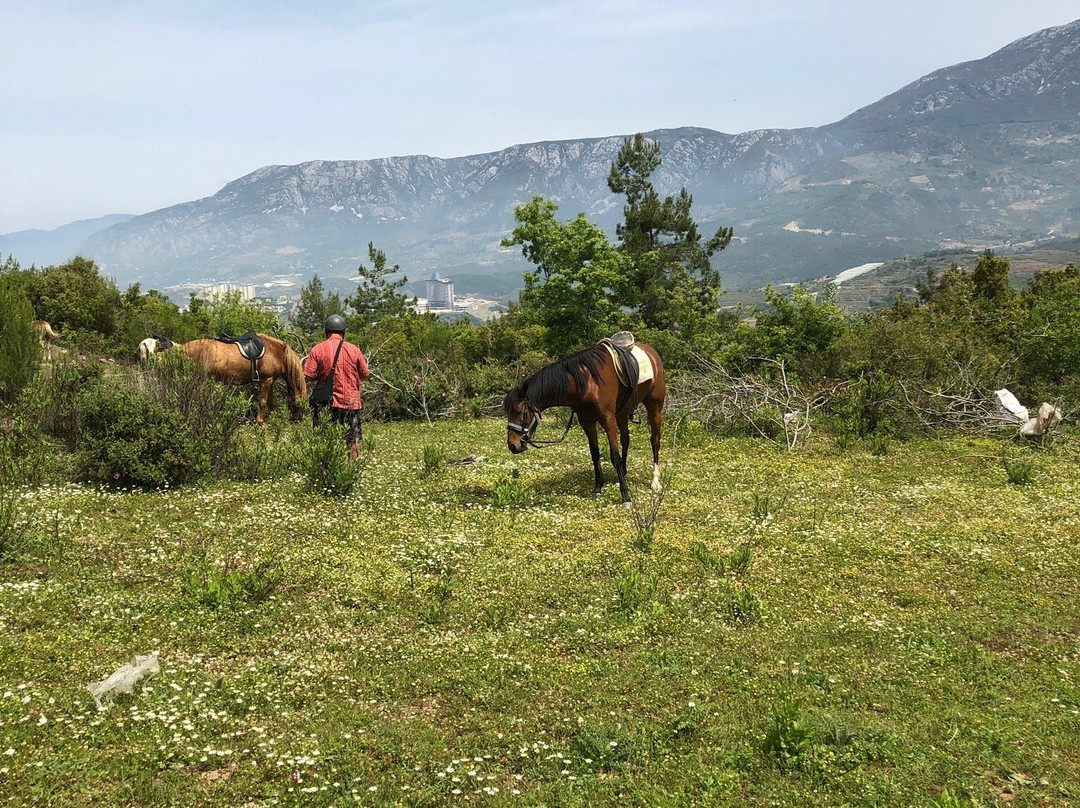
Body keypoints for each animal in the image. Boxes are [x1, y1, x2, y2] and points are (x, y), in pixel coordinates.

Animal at [165, 334, 308, 423]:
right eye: (300, 403)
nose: (298, 419)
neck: (277, 352)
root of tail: (182, 347)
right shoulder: (266, 380)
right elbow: (262, 402)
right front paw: (261, 422)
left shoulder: (270, 381)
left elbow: (270, 402)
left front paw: (274, 418)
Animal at [505, 341, 665, 505]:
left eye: (521, 412)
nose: (513, 445)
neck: (587, 381)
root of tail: (652, 352)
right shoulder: (586, 421)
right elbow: (595, 453)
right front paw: (598, 487)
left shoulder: (608, 419)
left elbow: (615, 456)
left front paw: (625, 496)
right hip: (622, 412)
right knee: (626, 440)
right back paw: (624, 474)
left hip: (655, 408)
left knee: (654, 442)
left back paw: (655, 482)